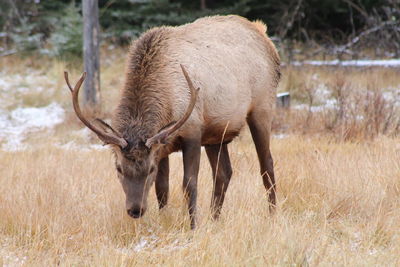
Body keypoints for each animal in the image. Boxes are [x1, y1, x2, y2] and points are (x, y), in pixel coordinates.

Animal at [64, 14, 280, 229]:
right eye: (119, 168)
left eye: (150, 169)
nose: (135, 210)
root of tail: (263, 33)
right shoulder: (162, 146)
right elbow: (162, 190)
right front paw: (163, 221)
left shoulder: (192, 131)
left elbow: (189, 184)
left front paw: (193, 226)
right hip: (216, 134)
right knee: (223, 173)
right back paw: (214, 219)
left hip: (262, 107)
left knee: (267, 164)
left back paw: (272, 215)